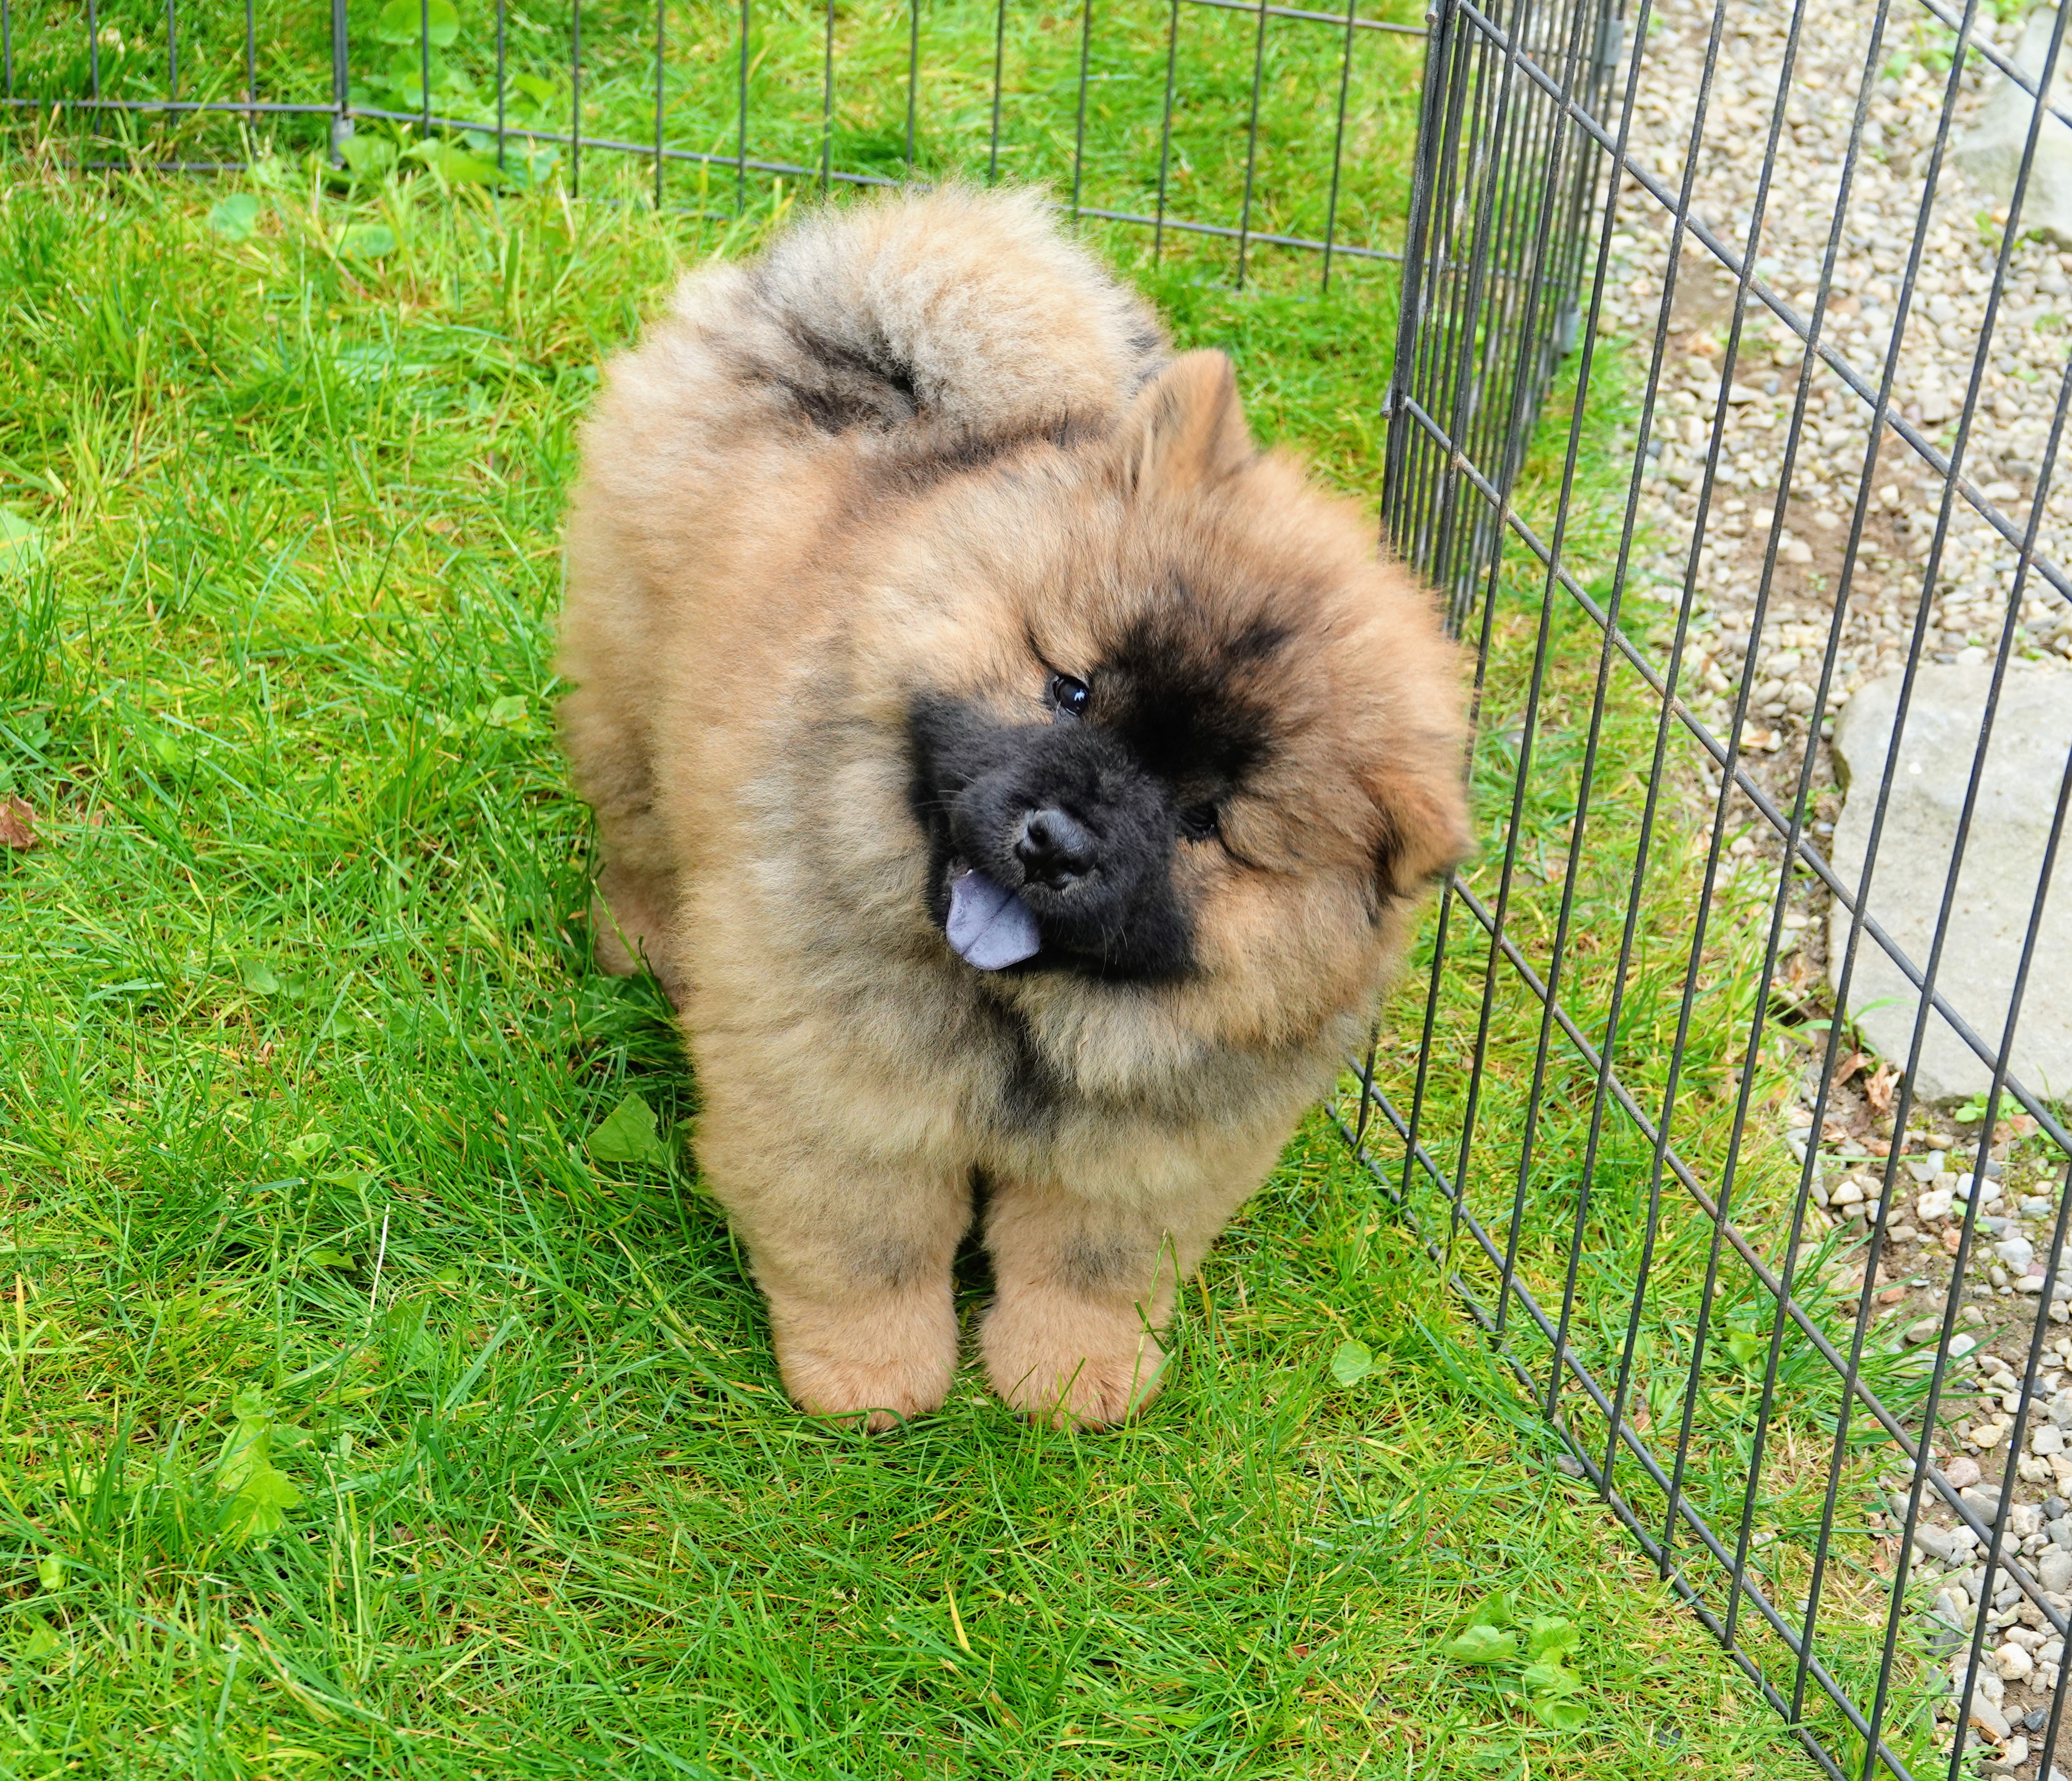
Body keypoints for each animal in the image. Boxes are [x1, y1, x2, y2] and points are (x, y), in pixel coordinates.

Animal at [559, 184, 1475, 1434]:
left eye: (1202, 822)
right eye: (1070, 690)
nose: (1054, 843)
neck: (1026, 1020)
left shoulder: (1151, 1148)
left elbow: (1087, 1267)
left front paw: (1070, 1386)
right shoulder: (834, 1096)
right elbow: (865, 1247)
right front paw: (867, 1383)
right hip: (625, 690)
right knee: (638, 834)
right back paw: (649, 946)